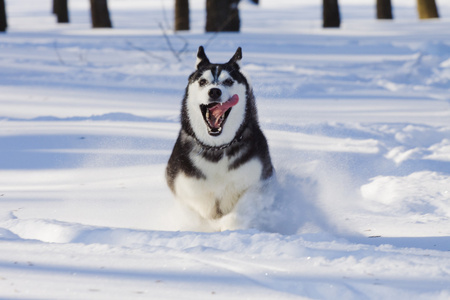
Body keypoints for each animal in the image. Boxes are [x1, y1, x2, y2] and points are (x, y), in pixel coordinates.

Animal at [166, 46, 274, 230]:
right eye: (203, 81)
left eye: (228, 81)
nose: (215, 91)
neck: (217, 148)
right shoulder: (185, 184)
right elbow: (202, 206)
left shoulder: (257, 180)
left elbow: (239, 209)